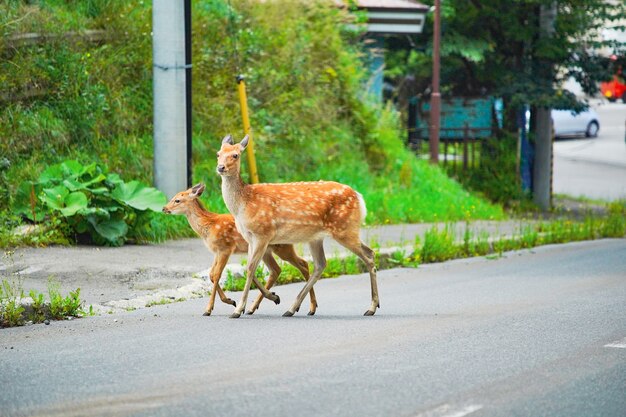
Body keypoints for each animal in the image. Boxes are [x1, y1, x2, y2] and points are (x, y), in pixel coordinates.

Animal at [163, 182, 316, 316]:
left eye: (177, 200)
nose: (164, 208)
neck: (208, 225)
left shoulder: (225, 248)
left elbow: (217, 275)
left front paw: (209, 309)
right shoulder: (217, 251)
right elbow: (212, 274)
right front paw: (232, 301)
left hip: (282, 247)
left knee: (303, 264)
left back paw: (309, 307)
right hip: (266, 250)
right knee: (276, 269)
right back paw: (259, 305)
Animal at [217, 135, 378, 316]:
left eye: (235, 155)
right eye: (218, 153)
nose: (220, 167)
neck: (242, 205)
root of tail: (359, 197)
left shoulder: (262, 234)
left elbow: (251, 268)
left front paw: (238, 309)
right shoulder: (250, 238)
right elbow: (249, 269)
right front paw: (273, 297)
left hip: (344, 228)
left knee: (368, 256)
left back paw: (371, 307)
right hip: (318, 237)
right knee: (321, 264)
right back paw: (293, 308)